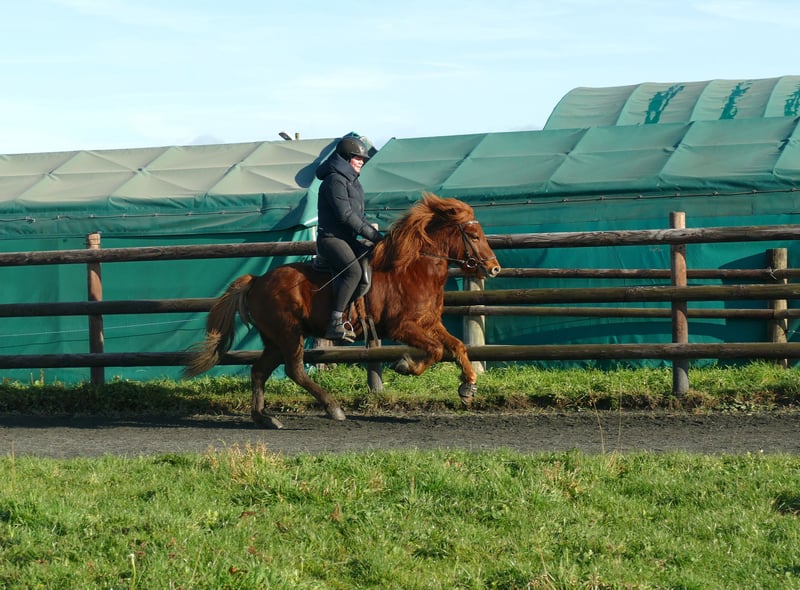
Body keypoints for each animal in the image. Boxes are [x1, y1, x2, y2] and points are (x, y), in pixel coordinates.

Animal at [183, 192, 501, 428]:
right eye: (474, 236)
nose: (494, 268)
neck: (413, 268)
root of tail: (257, 280)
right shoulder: (402, 327)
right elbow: (435, 350)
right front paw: (406, 366)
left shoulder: (430, 323)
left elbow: (458, 346)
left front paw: (468, 388)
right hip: (289, 334)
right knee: (294, 370)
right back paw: (332, 407)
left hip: (274, 339)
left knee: (260, 371)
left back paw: (265, 418)